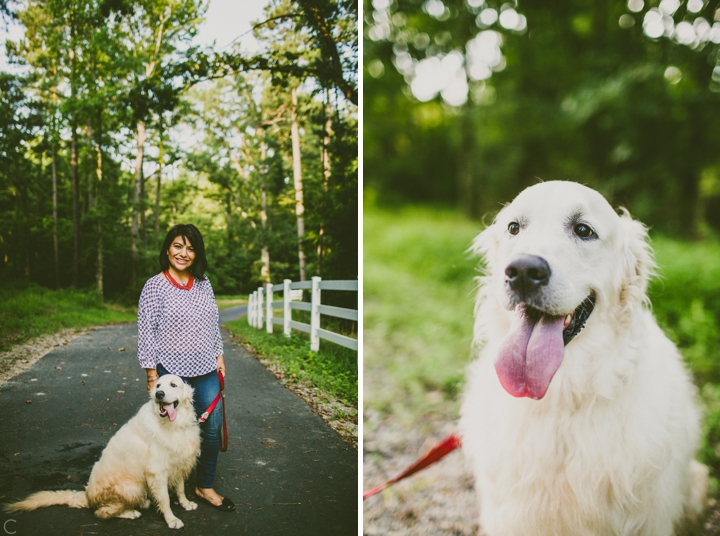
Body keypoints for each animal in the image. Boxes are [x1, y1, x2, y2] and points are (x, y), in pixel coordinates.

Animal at [5, 374, 202, 528]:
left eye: (173, 385)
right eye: (158, 386)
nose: (159, 394)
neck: (174, 425)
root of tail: (87, 496)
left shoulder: (180, 462)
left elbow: (180, 489)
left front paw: (185, 503)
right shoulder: (157, 472)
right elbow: (165, 500)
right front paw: (171, 520)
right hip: (132, 486)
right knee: (102, 513)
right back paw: (130, 512)